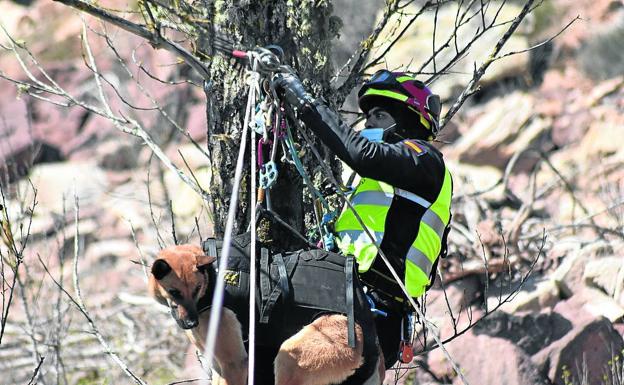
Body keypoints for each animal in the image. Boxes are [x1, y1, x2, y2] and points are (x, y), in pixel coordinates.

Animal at [151, 243, 386, 384]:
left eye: (197, 289)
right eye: (174, 292)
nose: (190, 323)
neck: (212, 281)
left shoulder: (234, 364)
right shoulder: (219, 365)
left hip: (290, 359)